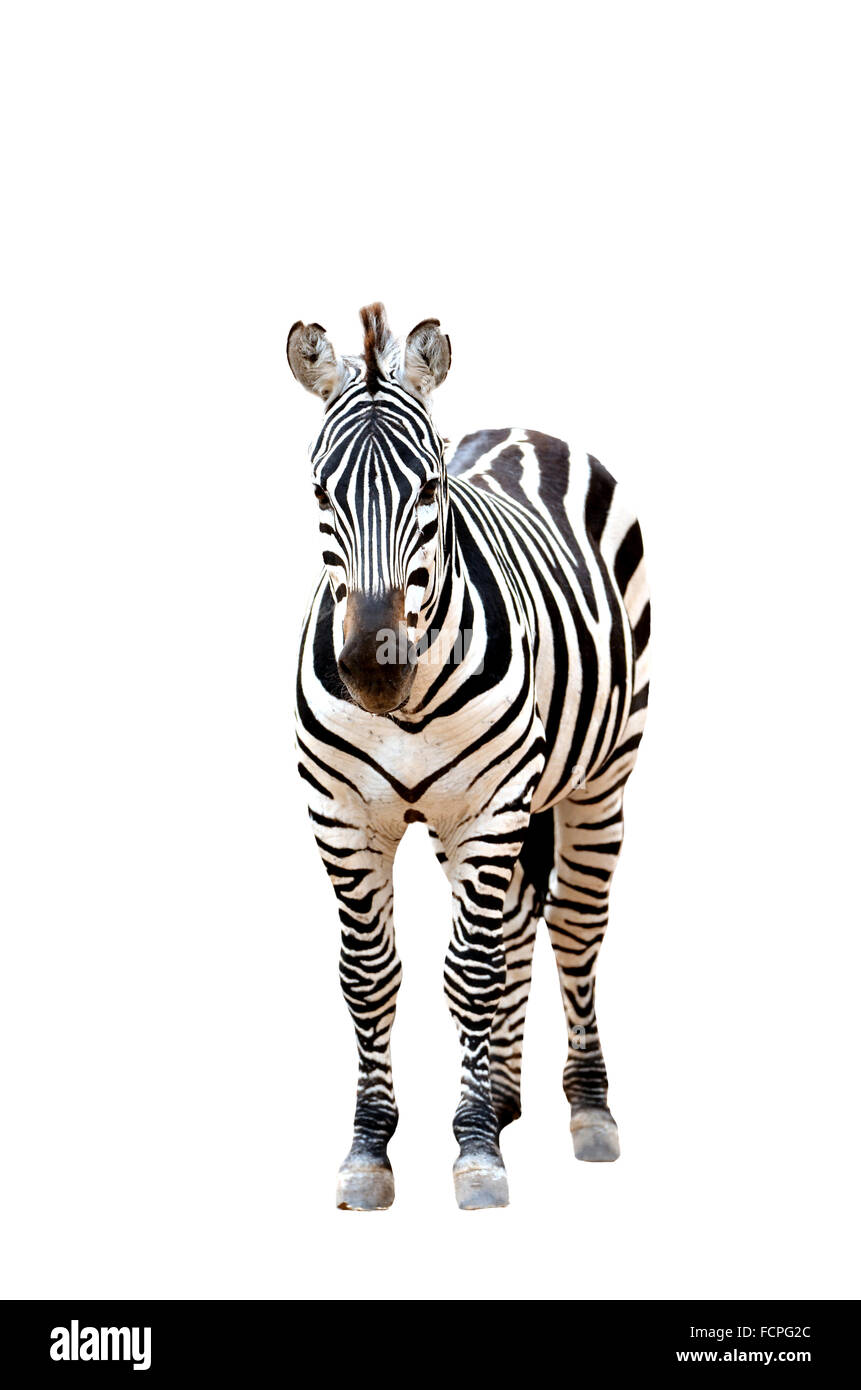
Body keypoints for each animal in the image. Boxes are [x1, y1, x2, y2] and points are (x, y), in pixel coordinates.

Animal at [287, 304, 650, 1210]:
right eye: (319, 493)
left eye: (428, 490)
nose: (373, 670)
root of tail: (521, 428)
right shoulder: (341, 817)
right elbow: (369, 976)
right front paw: (369, 1149)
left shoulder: (489, 809)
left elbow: (470, 973)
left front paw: (475, 1148)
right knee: (517, 918)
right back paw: (505, 1094)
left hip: (600, 778)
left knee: (572, 926)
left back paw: (586, 1109)